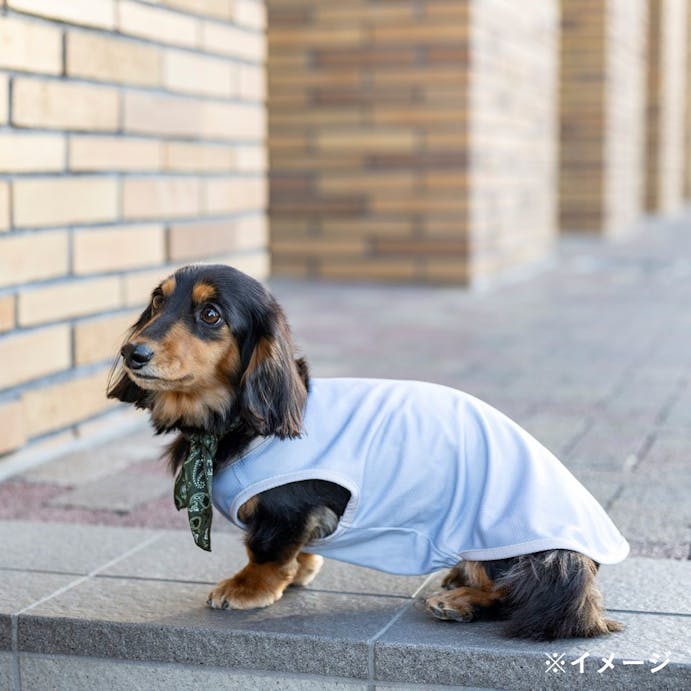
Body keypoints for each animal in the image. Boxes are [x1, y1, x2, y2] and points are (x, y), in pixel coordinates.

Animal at [108, 262, 628, 640]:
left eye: (211, 314)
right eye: (158, 300)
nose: (132, 352)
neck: (241, 422)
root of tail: (588, 556)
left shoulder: (286, 507)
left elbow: (266, 551)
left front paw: (248, 587)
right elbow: (298, 550)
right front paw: (302, 570)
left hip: (510, 544)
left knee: (521, 594)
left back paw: (460, 601)